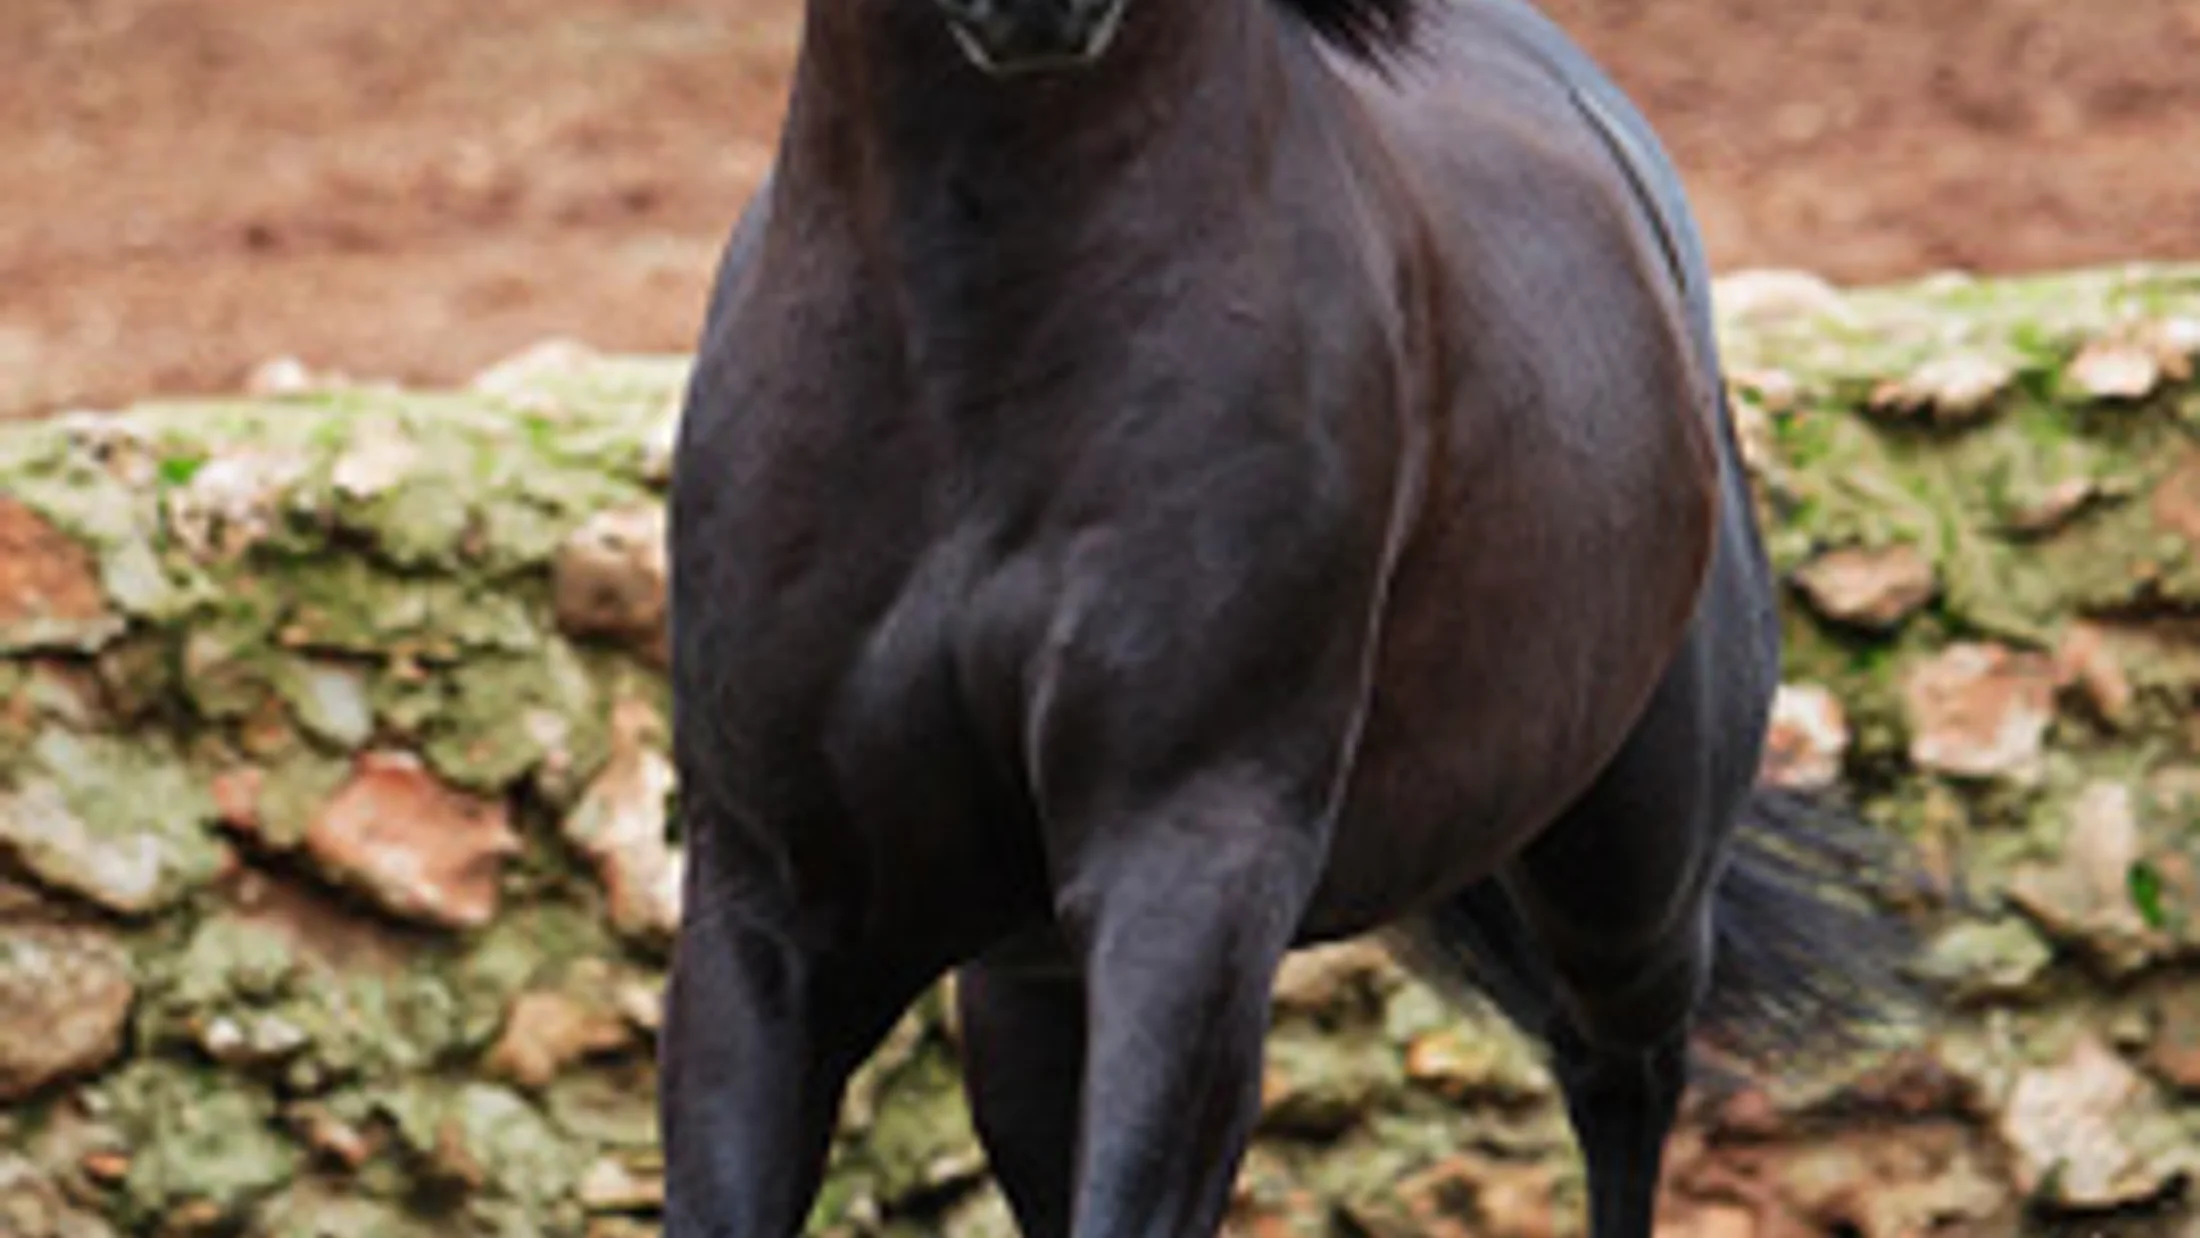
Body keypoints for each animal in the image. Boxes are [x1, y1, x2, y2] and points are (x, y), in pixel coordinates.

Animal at [659, 0, 1917, 1233]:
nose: (1036, 8)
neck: (971, 356)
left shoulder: (1188, 869)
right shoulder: (771, 909)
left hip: (1627, 884)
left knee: (1620, 1077)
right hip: (1032, 977)